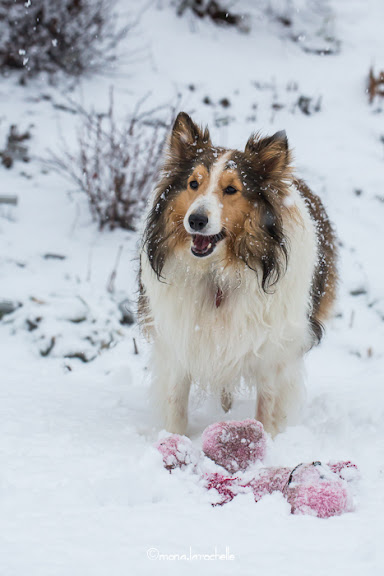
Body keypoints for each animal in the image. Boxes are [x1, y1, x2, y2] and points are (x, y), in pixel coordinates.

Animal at [138, 112, 336, 436]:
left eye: (231, 189)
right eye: (193, 183)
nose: (196, 220)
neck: (219, 274)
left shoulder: (273, 352)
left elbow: (267, 407)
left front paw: (267, 442)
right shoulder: (178, 339)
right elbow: (175, 403)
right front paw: (174, 439)